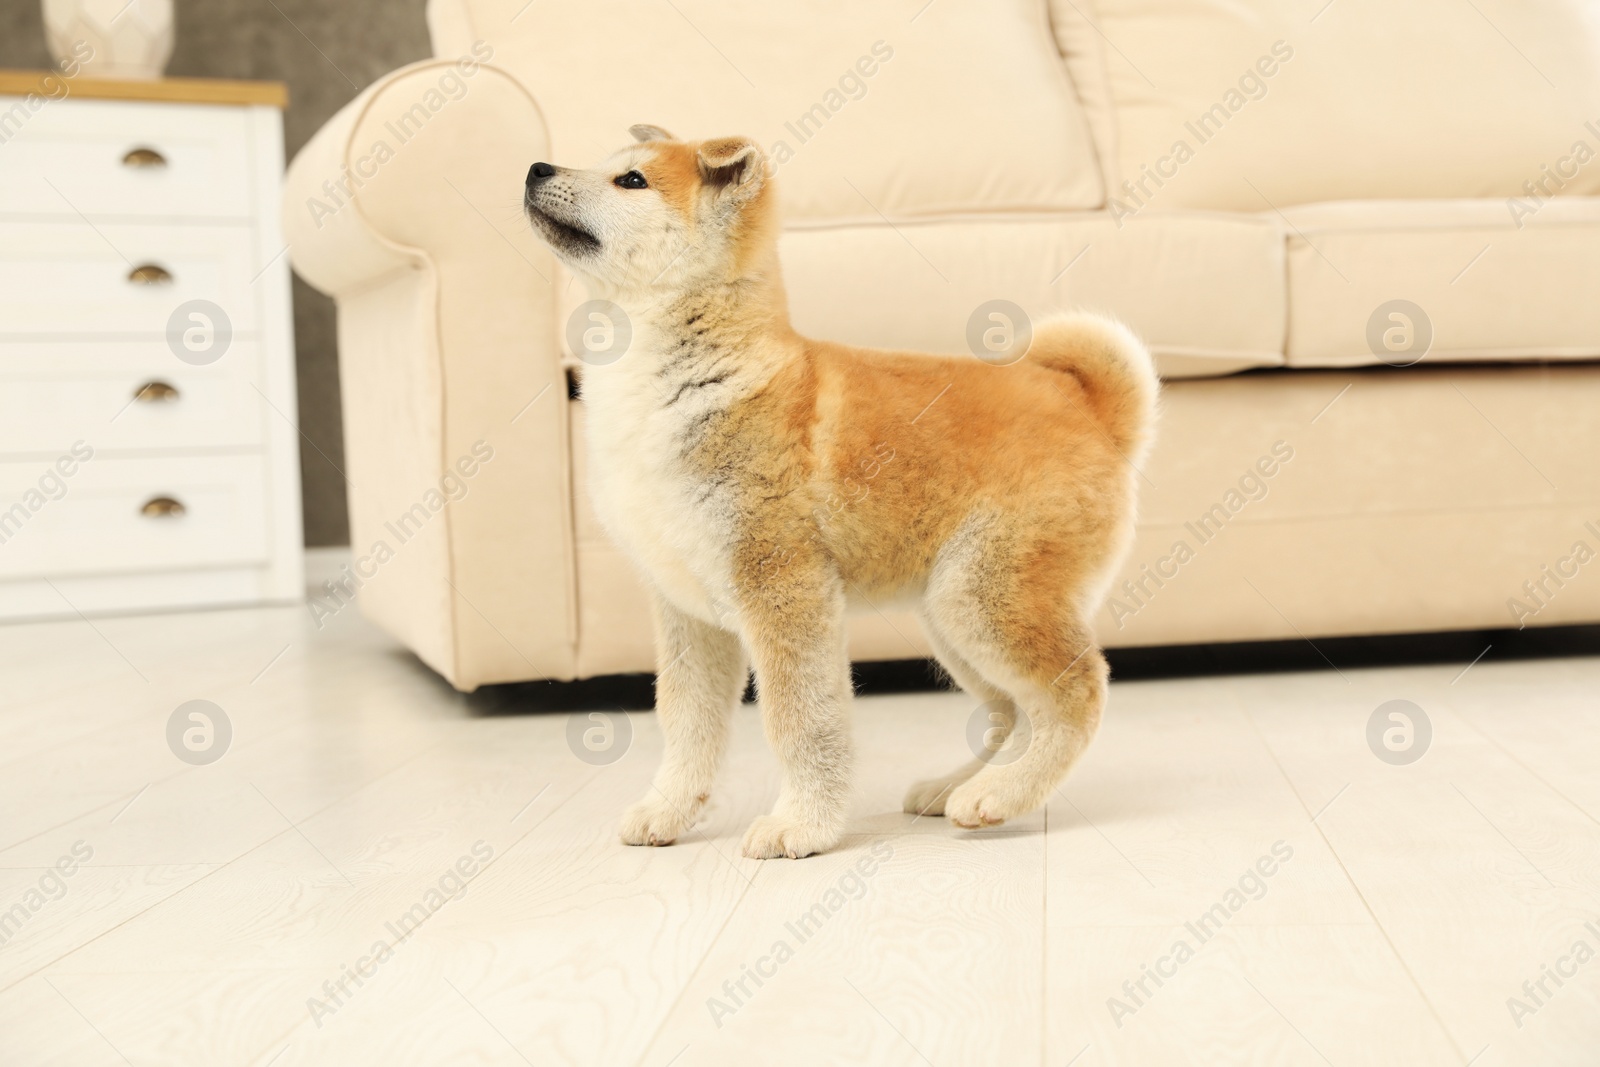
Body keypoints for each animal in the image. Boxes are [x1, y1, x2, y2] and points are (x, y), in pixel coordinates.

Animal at [531, 127, 1158, 857]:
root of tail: (1087, 406)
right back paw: (966, 787)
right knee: (1016, 711)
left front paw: (801, 825)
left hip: (983, 597)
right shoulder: (684, 608)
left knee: (1074, 692)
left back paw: (998, 794)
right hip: (952, 613)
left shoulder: (786, 590)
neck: (692, 376)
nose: (536, 167)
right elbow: (687, 724)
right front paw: (668, 809)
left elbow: (801, 723)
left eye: (630, 180)